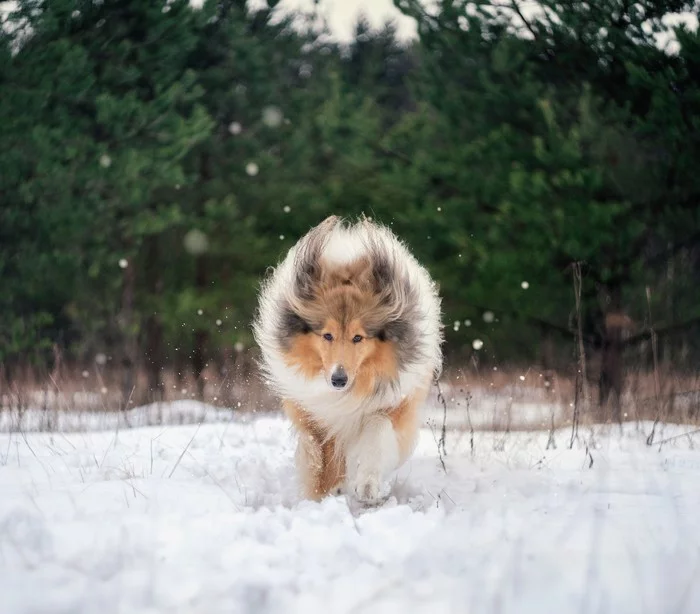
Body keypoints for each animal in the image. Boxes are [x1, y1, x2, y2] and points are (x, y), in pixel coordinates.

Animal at [253, 217, 442, 506]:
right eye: (327, 335)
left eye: (358, 337)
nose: (338, 379)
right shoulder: (313, 411)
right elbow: (322, 453)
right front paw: (327, 491)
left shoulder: (392, 404)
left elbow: (377, 434)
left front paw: (367, 487)